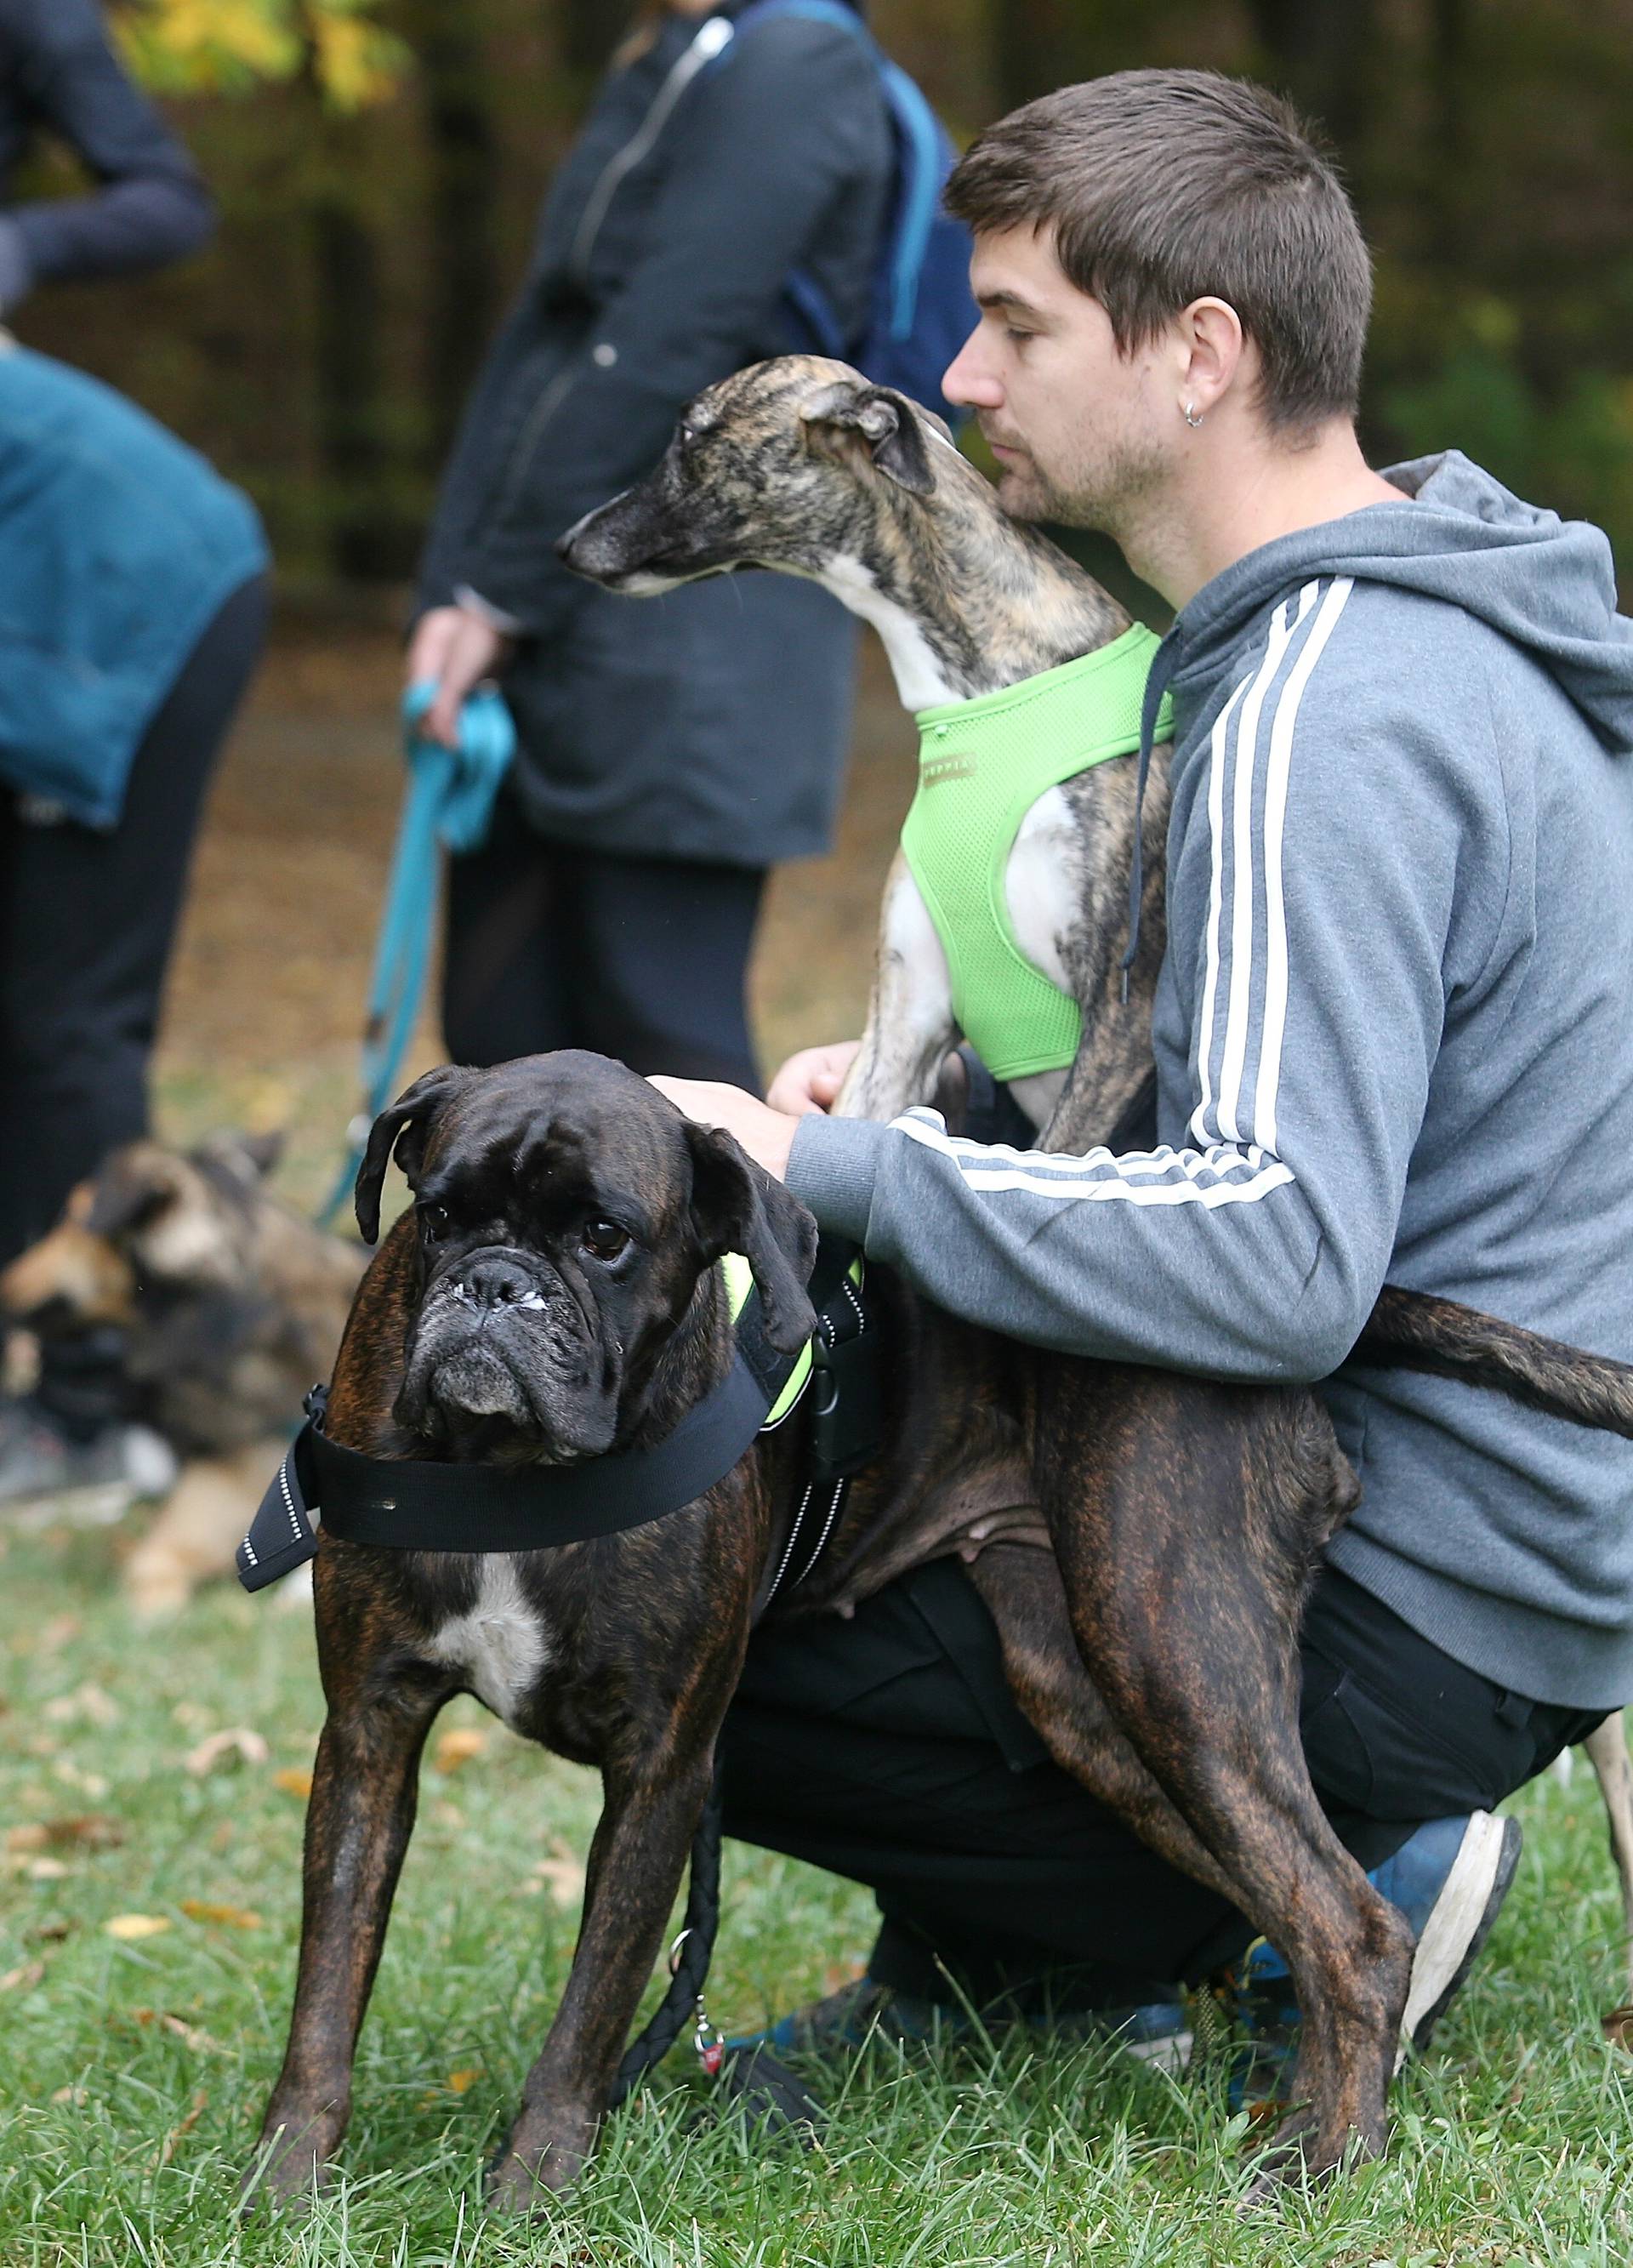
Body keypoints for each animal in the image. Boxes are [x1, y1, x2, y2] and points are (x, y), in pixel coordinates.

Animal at [252, 1047, 1633, 2214]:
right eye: (439, 1213)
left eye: (604, 1239)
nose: (494, 1287)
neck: (512, 1471)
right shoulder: (367, 1734)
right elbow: (328, 1982)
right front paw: (289, 2181)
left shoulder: (661, 1772)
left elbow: (588, 2012)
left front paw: (531, 2190)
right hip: (1097, 1703)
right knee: (1279, 1890)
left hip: (1170, 1649)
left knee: (1347, 1921)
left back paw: (1324, 2159)